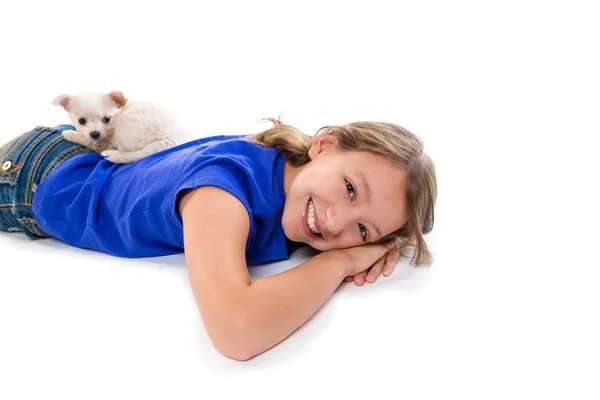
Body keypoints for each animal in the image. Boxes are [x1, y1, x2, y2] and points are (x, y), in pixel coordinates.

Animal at [52, 91, 186, 163]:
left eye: (106, 119)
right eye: (81, 121)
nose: (95, 134)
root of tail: (167, 140)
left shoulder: (102, 142)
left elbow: (87, 140)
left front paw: (69, 133)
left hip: (125, 128)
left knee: (125, 151)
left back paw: (110, 153)